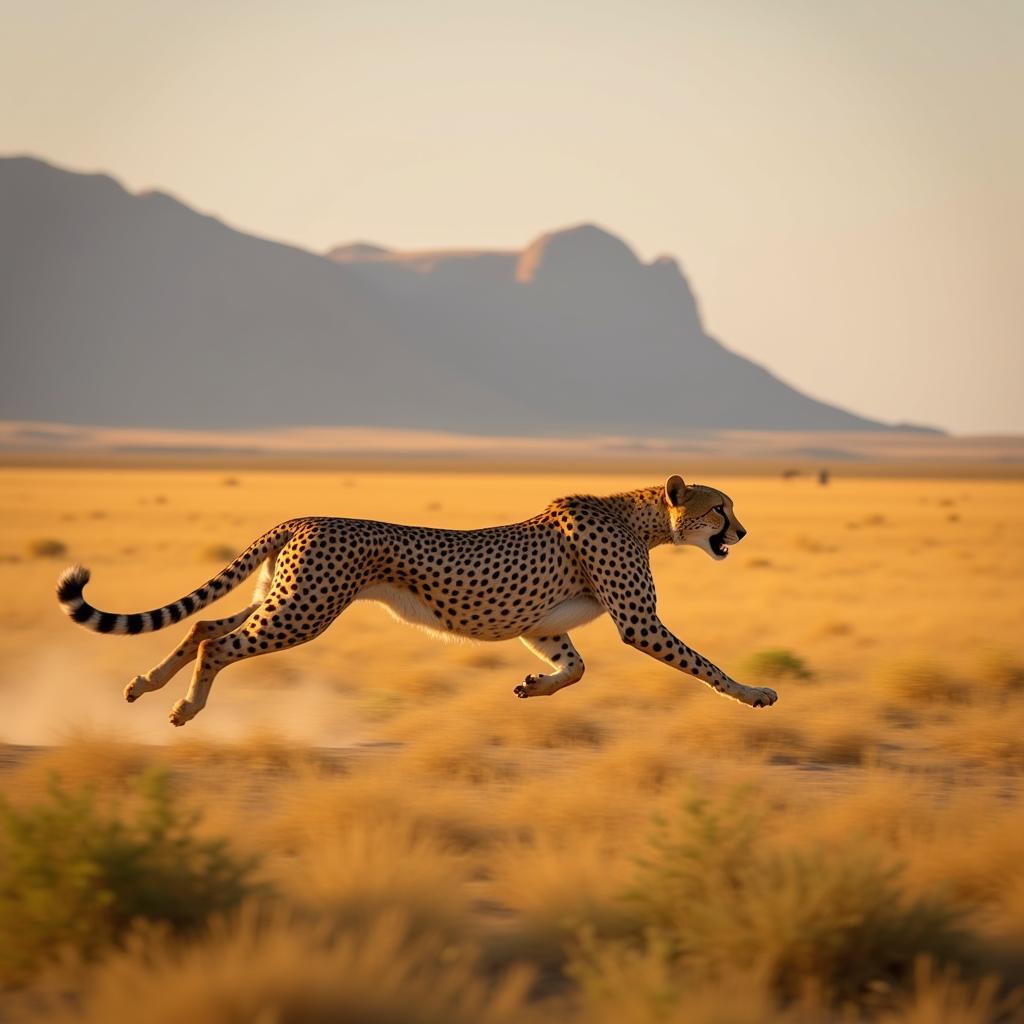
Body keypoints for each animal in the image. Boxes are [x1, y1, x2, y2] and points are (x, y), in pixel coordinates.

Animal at [56, 475, 774, 724]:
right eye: (721, 507)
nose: (742, 531)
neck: (639, 515)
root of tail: (302, 517)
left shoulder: (539, 625)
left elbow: (573, 667)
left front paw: (532, 688)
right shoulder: (638, 622)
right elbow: (704, 664)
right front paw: (753, 693)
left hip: (283, 597)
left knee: (204, 624)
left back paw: (144, 685)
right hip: (303, 610)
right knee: (221, 643)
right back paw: (185, 707)